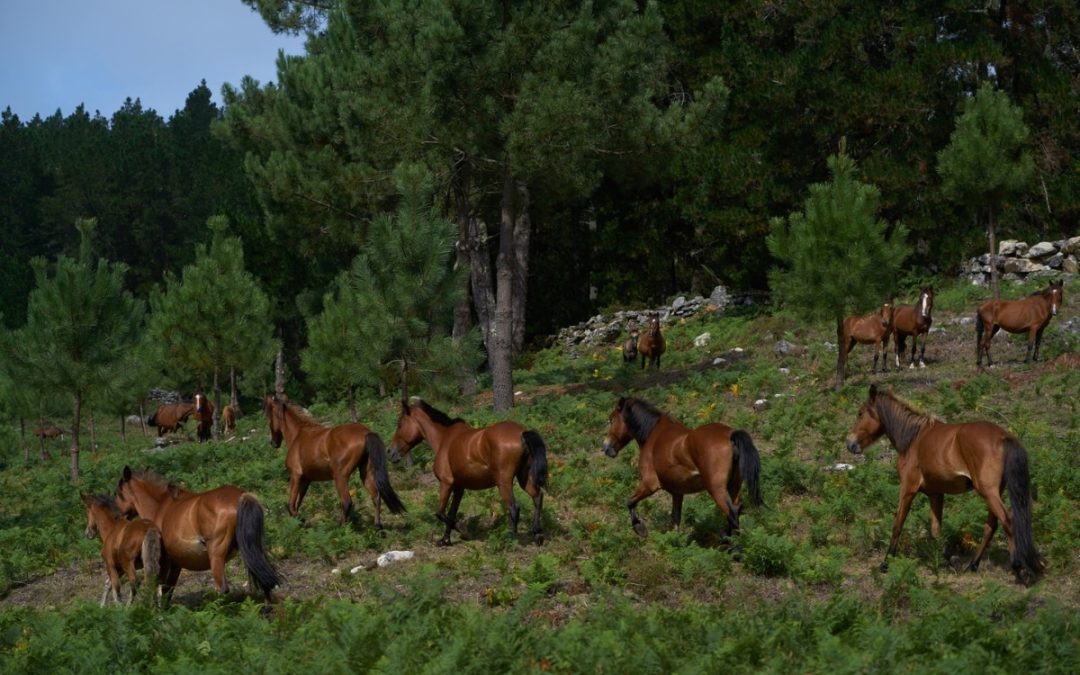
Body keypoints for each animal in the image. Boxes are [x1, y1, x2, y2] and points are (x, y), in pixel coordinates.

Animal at [114, 466, 281, 599]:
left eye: (118, 492)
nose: (117, 516)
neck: (161, 506)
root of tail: (241, 496)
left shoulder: (165, 562)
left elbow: (161, 585)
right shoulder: (176, 563)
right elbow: (168, 589)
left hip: (216, 556)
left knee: (223, 588)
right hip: (252, 549)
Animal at [263, 395, 406, 526]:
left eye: (269, 416)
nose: (273, 442)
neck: (298, 435)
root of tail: (365, 432)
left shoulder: (296, 476)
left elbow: (291, 506)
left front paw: (303, 523)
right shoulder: (306, 480)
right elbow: (296, 505)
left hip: (340, 476)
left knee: (347, 502)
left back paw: (339, 527)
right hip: (366, 473)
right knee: (376, 497)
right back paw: (378, 527)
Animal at [388, 398, 548, 546]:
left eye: (400, 424)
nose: (390, 452)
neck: (444, 439)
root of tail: (521, 433)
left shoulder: (446, 483)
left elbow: (440, 513)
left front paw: (463, 531)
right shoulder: (459, 488)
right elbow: (451, 513)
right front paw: (445, 540)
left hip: (504, 482)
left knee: (514, 508)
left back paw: (510, 539)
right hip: (523, 477)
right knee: (537, 497)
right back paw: (537, 533)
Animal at [602, 396, 762, 540]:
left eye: (611, 420)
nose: (605, 447)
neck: (652, 434)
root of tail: (730, 435)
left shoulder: (649, 483)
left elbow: (630, 502)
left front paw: (640, 528)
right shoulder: (677, 493)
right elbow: (675, 519)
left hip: (716, 489)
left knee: (732, 513)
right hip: (734, 485)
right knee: (737, 508)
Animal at [845, 384, 1044, 584]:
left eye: (860, 413)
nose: (850, 444)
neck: (914, 439)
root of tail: (1004, 437)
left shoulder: (908, 489)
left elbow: (897, 524)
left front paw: (886, 563)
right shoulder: (936, 494)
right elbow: (935, 531)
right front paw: (943, 561)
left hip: (988, 492)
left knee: (1008, 521)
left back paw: (1017, 567)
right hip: (994, 492)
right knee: (991, 525)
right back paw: (973, 564)